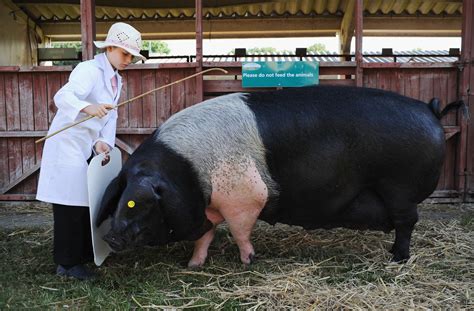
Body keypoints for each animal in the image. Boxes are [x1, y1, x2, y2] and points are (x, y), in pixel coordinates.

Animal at [96, 85, 462, 268]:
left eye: (136, 201)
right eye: (118, 197)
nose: (110, 236)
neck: (187, 171)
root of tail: (429, 109)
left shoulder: (245, 195)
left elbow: (240, 228)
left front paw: (248, 261)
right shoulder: (209, 205)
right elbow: (206, 234)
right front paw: (194, 266)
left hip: (399, 187)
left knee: (407, 222)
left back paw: (397, 259)